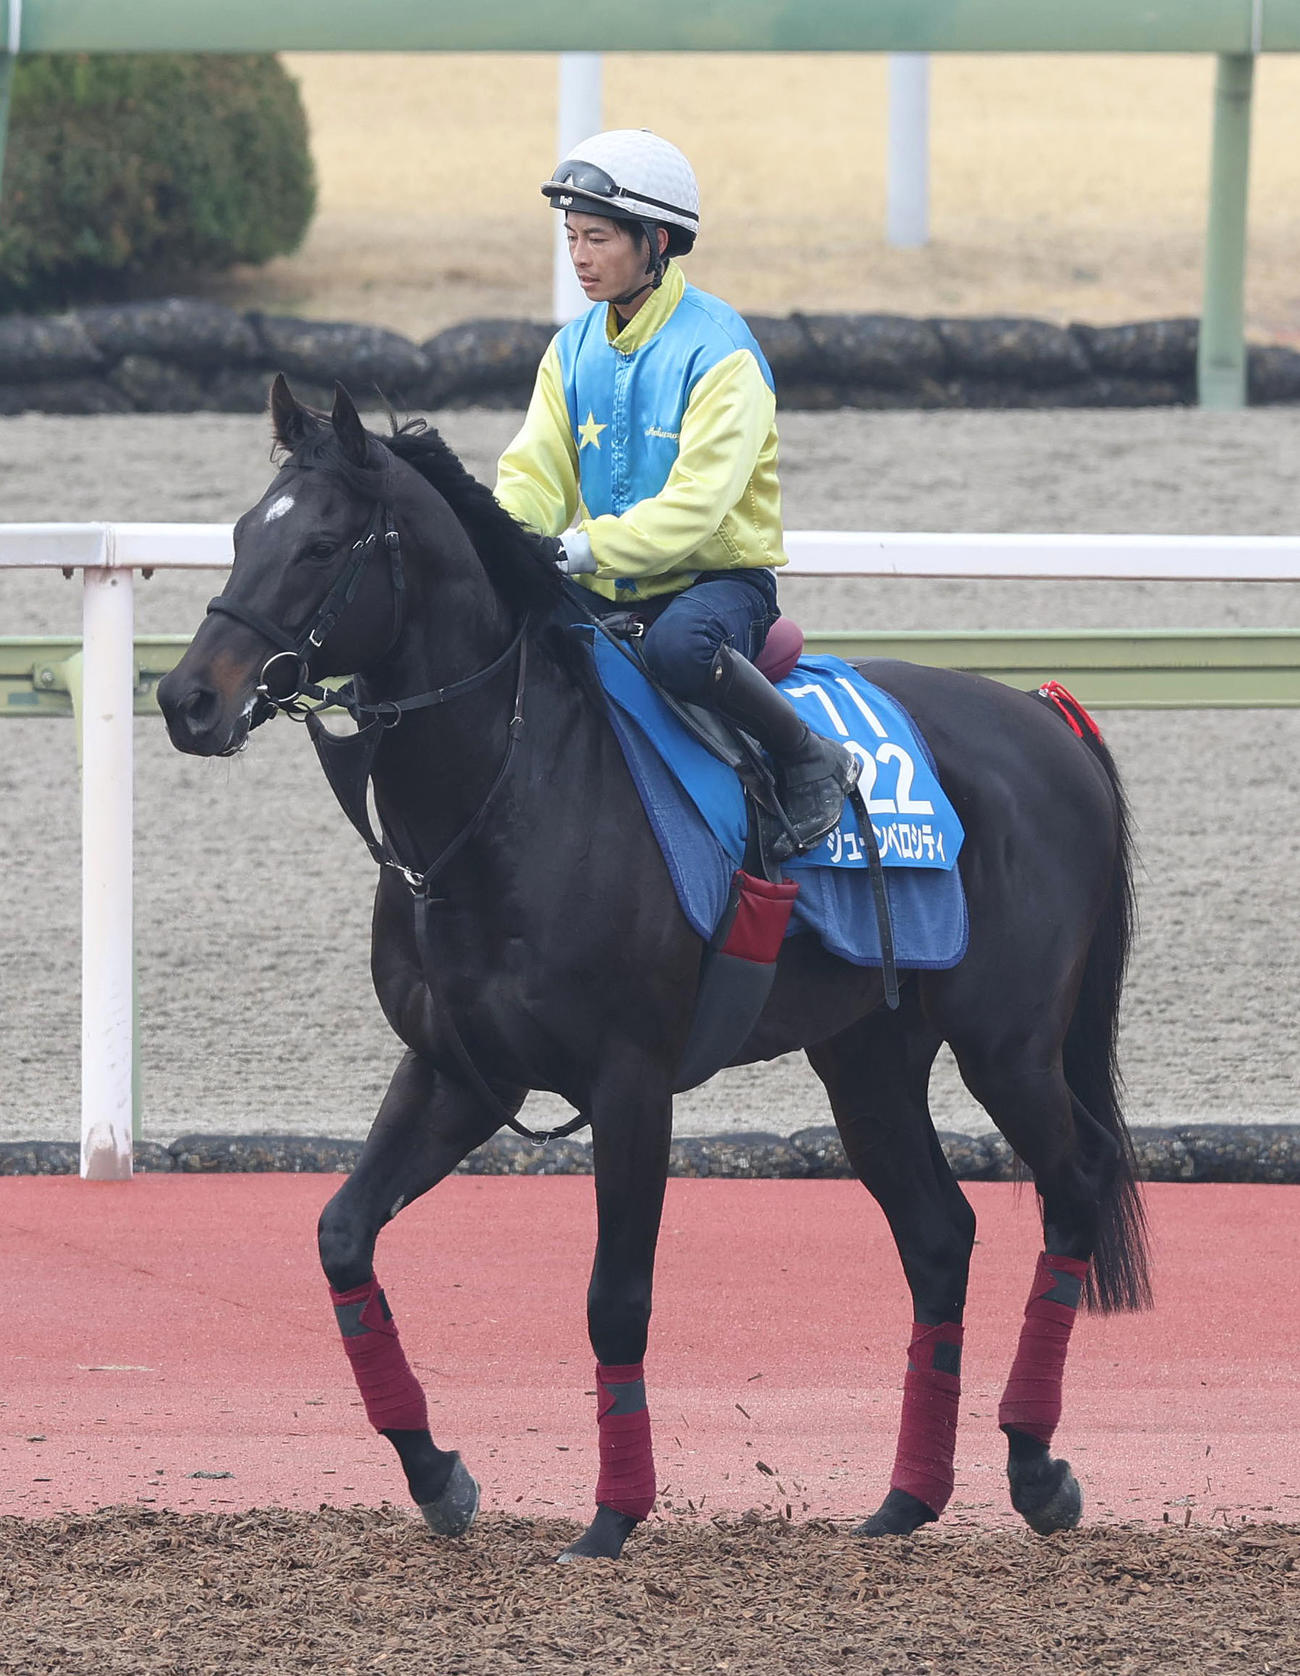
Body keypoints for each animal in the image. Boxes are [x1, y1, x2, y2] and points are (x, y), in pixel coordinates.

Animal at [157, 377, 1150, 1562]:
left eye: (317, 543)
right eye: (236, 534)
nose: (186, 698)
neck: (512, 789)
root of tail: (1046, 715)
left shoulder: (631, 1081)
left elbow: (614, 1296)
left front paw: (612, 1512)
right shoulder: (455, 1070)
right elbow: (343, 1236)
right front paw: (437, 1473)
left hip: (1008, 1041)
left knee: (1075, 1184)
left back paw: (1034, 1464)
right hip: (866, 1055)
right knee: (939, 1234)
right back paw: (907, 1497)